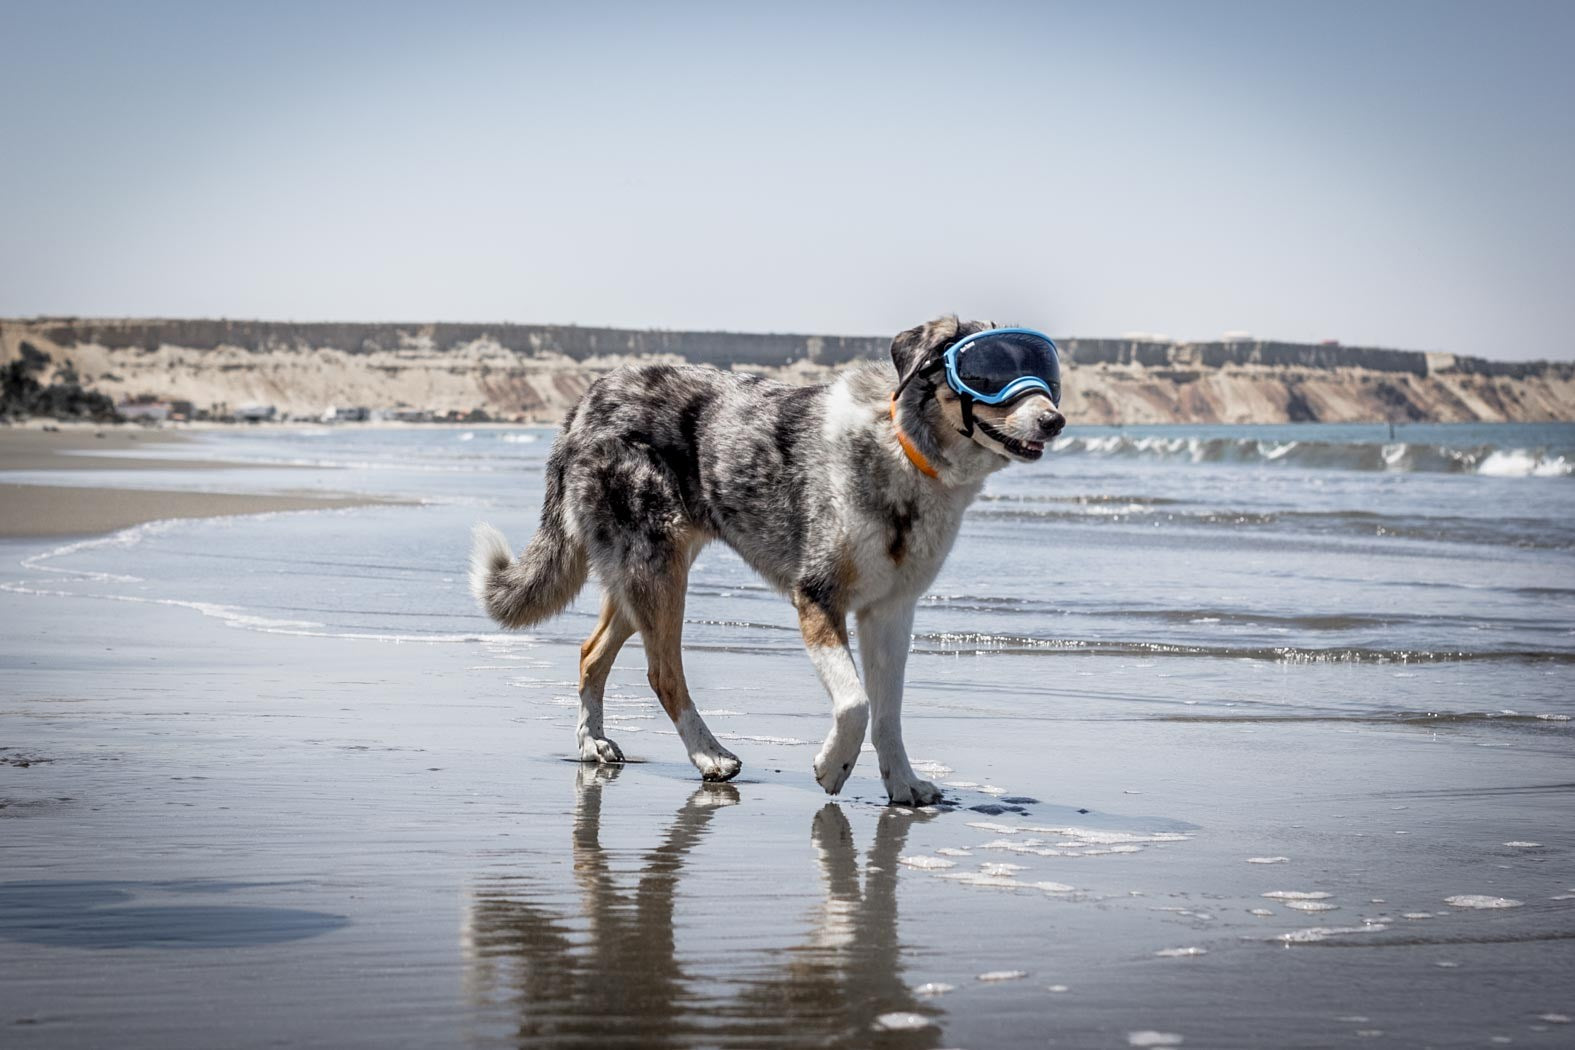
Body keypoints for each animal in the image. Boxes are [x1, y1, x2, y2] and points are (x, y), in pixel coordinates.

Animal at [459, 311, 1064, 805]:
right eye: (985, 374)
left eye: (1048, 375)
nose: (1055, 420)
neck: (902, 451)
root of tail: (588, 398)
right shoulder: (817, 596)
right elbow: (855, 704)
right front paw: (833, 766)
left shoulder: (891, 612)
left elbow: (887, 712)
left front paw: (903, 784)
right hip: (657, 568)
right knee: (663, 673)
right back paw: (709, 756)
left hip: (642, 573)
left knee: (591, 653)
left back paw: (593, 743)